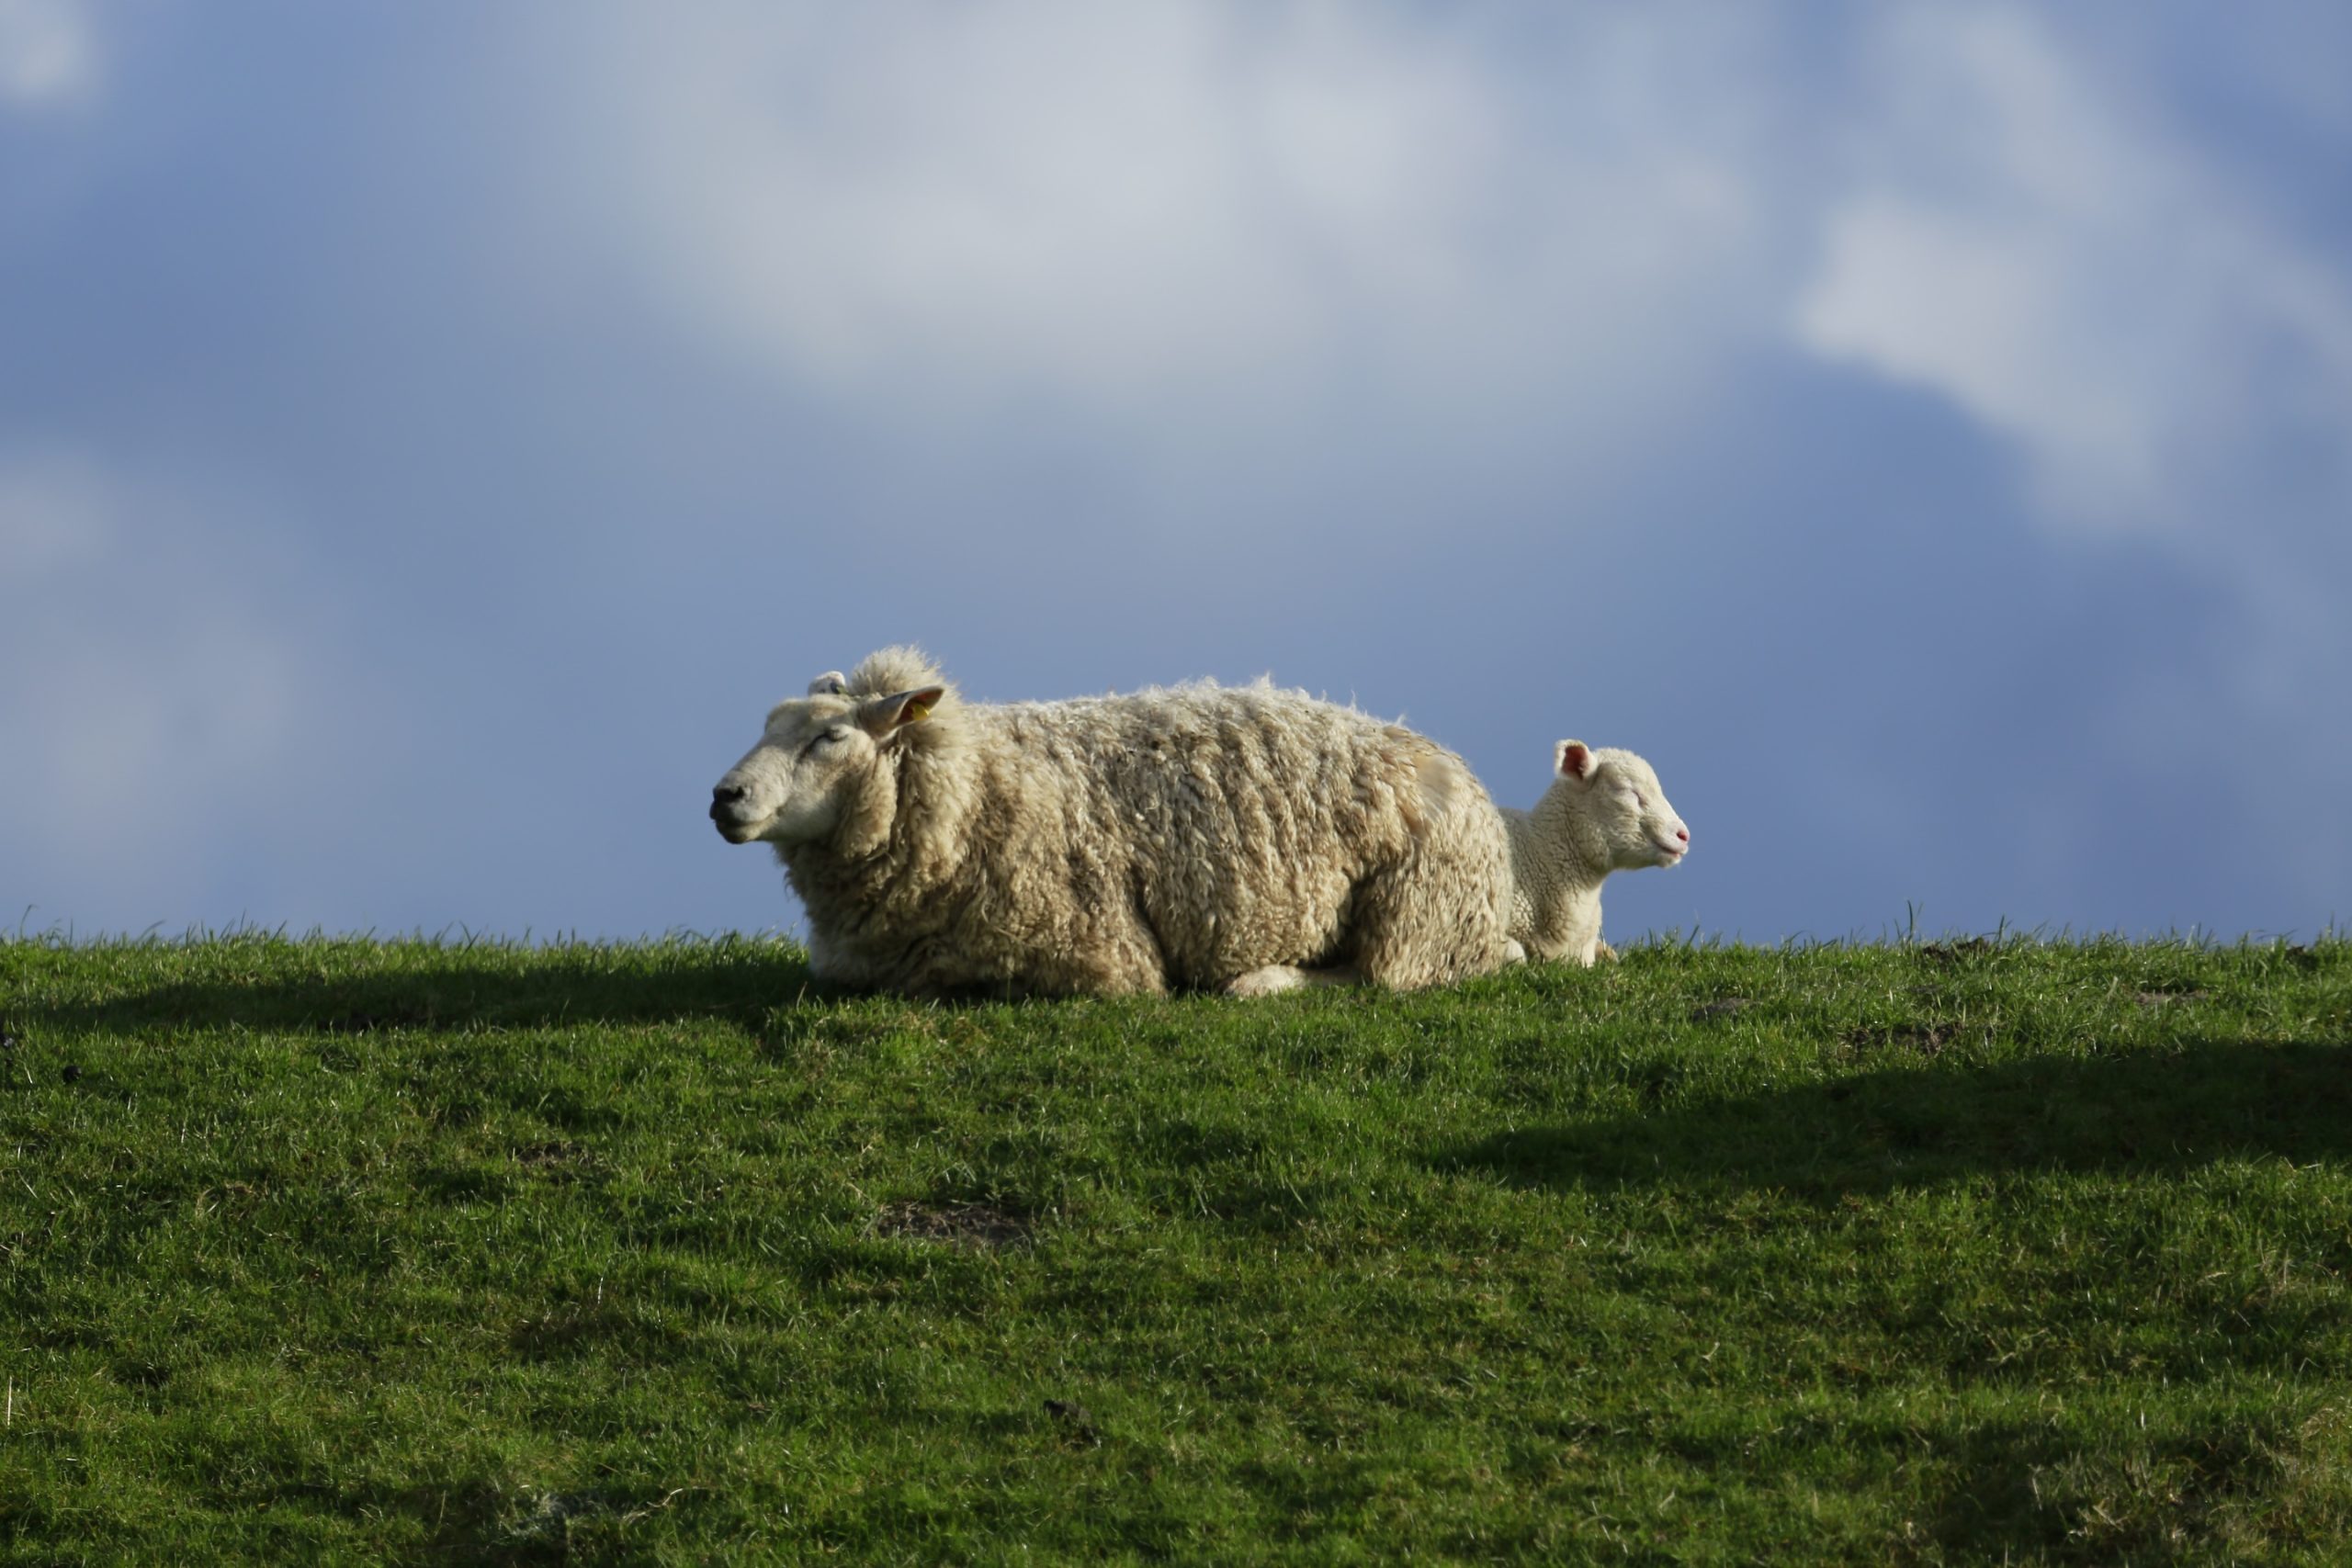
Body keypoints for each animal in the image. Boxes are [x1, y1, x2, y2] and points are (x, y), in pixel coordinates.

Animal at [709, 647, 1518, 998]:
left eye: (829, 738)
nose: (724, 796)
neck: (973, 786)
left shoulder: (1100, 956)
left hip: (1416, 910)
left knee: (1382, 979)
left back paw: (1261, 981)